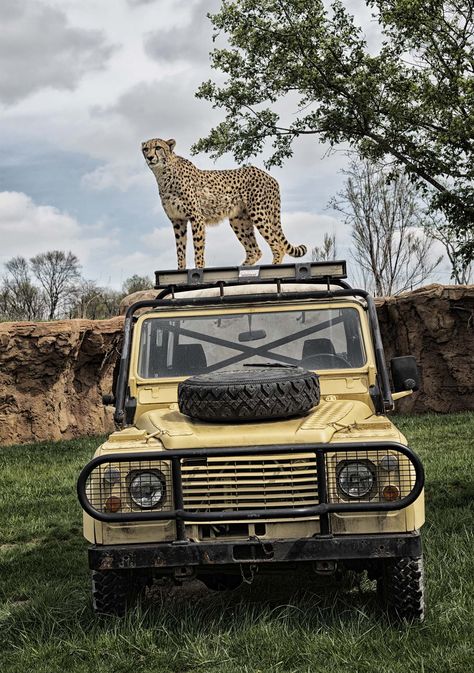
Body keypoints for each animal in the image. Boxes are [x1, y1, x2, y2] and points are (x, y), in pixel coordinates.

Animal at [141, 136, 308, 268]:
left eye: (158, 147)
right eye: (145, 149)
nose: (149, 157)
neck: (163, 174)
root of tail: (270, 177)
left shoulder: (196, 218)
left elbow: (198, 248)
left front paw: (198, 271)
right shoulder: (177, 220)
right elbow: (180, 251)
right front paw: (180, 273)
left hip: (259, 213)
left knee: (278, 245)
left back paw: (273, 268)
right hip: (239, 220)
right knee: (255, 250)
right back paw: (242, 269)